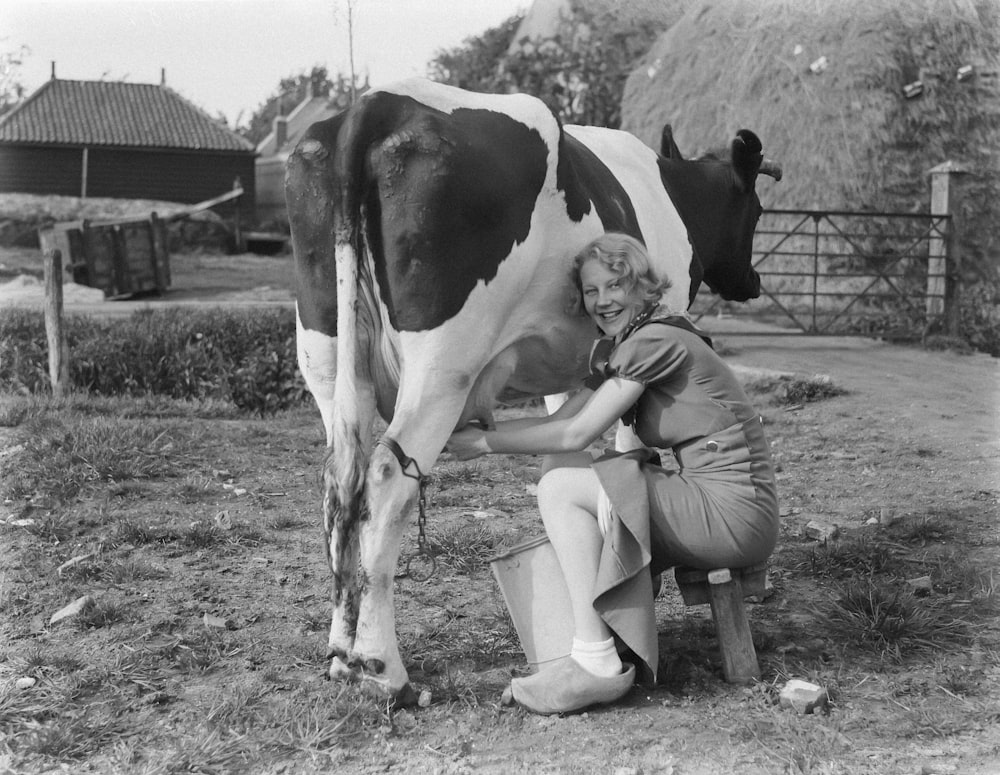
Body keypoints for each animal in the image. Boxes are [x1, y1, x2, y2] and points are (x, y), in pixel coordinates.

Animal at [286, 77, 784, 704]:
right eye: (757, 209)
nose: (753, 281)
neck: (671, 191)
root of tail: (376, 103)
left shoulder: (567, 373)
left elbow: (560, 452)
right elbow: (628, 450)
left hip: (327, 357)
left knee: (338, 484)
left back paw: (340, 654)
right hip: (442, 366)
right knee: (385, 480)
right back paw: (381, 670)